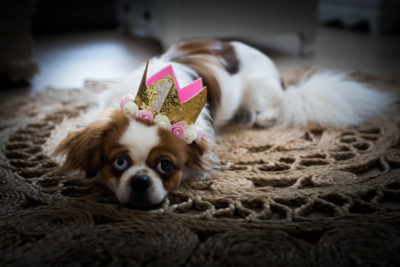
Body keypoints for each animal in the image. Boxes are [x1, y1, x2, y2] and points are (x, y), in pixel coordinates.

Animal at [55, 39, 394, 209]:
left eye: (165, 166)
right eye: (120, 163)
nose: (140, 181)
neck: (153, 103)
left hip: (260, 91)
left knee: (273, 106)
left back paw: (262, 116)